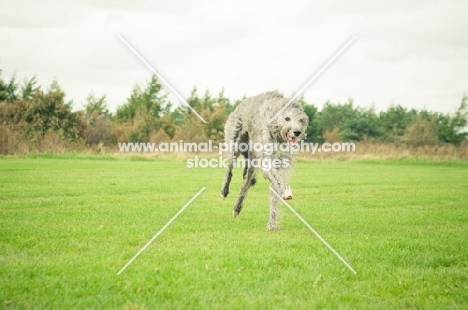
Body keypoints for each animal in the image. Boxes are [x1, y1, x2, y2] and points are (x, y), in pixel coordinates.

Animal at [220, 91, 308, 229]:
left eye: (301, 120)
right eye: (287, 118)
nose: (297, 132)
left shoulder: (281, 162)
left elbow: (274, 193)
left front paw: (272, 225)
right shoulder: (266, 157)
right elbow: (275, 177)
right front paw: (285, 192)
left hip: (251, 159)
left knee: (246, 182)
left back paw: (237, 208)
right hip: (235, 141)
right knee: (229, 168)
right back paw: (224, 191)